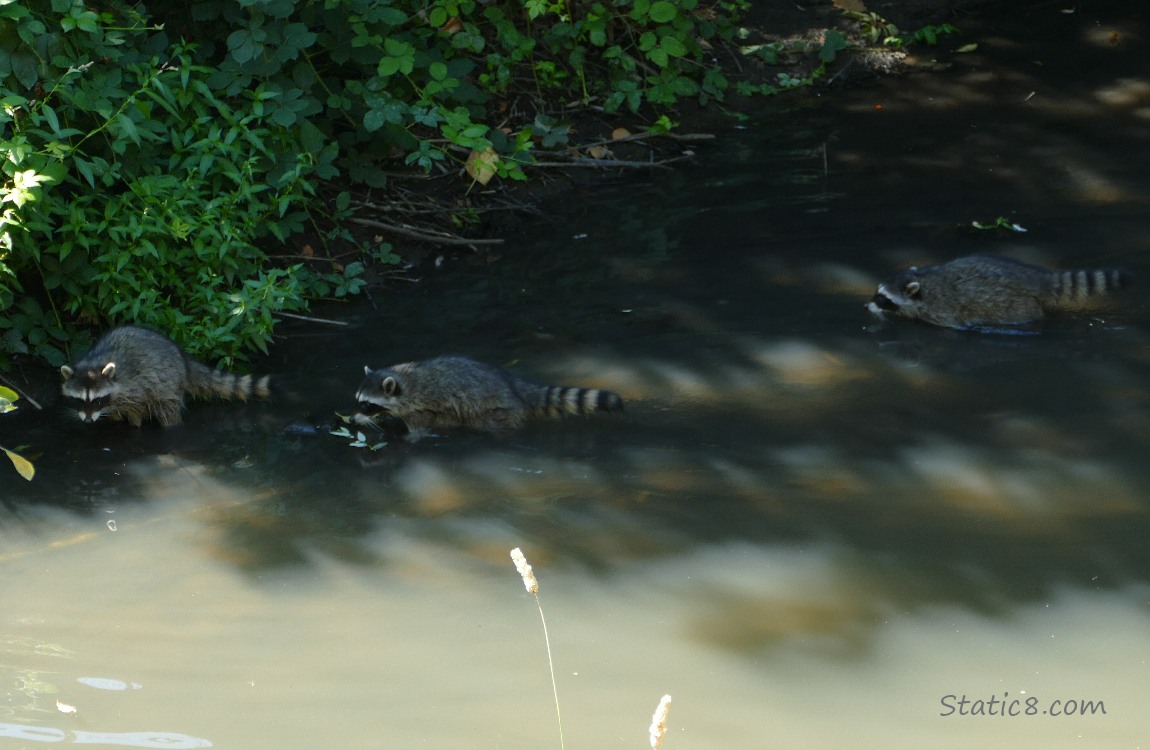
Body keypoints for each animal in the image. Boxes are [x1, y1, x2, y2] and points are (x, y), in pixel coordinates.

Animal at [60, 325, 272, 427]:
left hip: (168, 384)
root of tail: (183, 359)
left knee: (168, 411)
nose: (88, 422)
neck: (94, 363)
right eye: (79, 400)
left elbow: (136, 409)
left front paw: (134, 423)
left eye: (96, 400)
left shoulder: (135, 387)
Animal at [353, 355, 624, 439]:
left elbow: (420, 426)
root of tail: (515, 386)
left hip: (496, 412)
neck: (404, 381)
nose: (352, 420)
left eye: (367, 405)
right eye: (358, 401)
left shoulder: (419, 407)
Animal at [866, 254, 1131, 330]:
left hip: (1013, 306)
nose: (867, 306)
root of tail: (1035, 278)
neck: (923, 280)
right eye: (877, 293)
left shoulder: (943, 309)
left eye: (883, 299)